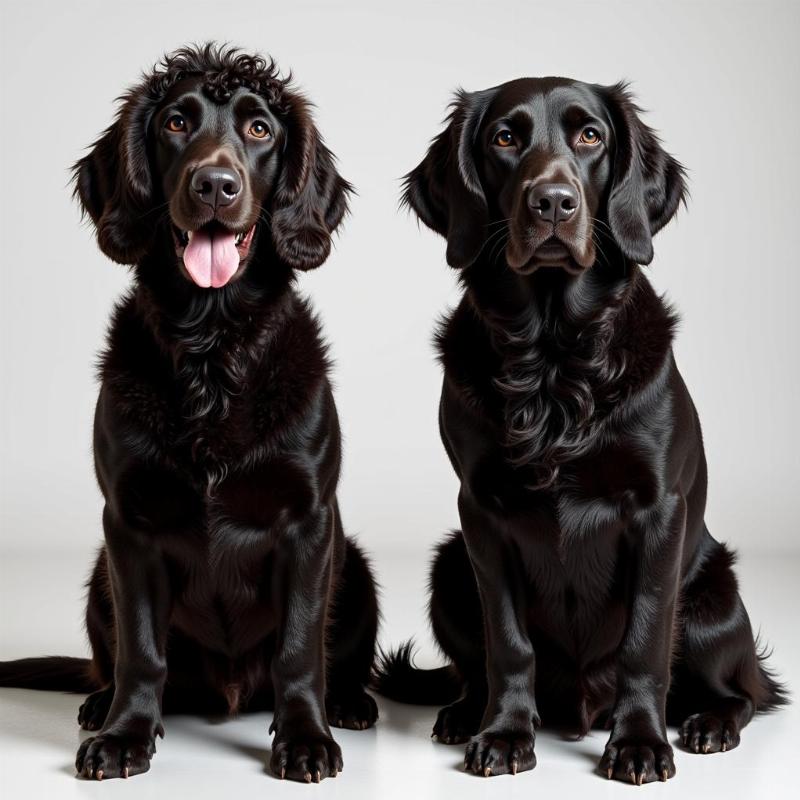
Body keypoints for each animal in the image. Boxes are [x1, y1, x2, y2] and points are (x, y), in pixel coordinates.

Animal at [376, 78, 788, 784]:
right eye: (504, 138)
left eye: (590, 135)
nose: (552, 202)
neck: (553, 358)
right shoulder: (480, 512)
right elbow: (508, 643)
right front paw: (505, 734)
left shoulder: (658, 511)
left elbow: (644, 641)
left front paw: (641, 742)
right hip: (448, 568)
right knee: (474, 668)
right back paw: (465, 713)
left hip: (714, 599)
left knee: (746, 690)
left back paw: (708, 724)